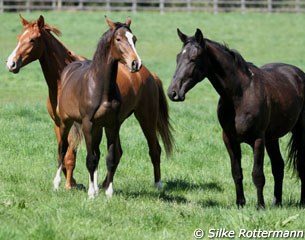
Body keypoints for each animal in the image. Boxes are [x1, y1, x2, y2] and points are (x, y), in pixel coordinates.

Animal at [7, 15, 172, 196]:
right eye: (19, 38)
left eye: (33, 39)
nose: (11, 63)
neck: (60, 79)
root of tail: (150, 75)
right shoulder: (61, 123)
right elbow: (69, 153)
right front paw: (78, 184)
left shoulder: (81, 125)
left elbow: (76, 155)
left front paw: (73, 185)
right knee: (114, 152)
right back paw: (104, 184)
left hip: (146, 118)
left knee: (154, 149)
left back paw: (157, 185)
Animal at [167, 27, 304, 208]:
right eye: (177, 58)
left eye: (194, 58)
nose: (173, 92)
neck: (241, 94)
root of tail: (298, 74)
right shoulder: (230, 139)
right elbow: (236, 172)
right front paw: (240, 204)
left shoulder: (258, 140)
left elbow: (257, 175)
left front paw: (260, 206)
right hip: (272, 138)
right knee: (278, 166)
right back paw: (277, 202)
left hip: (298, 132)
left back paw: (301, 202)